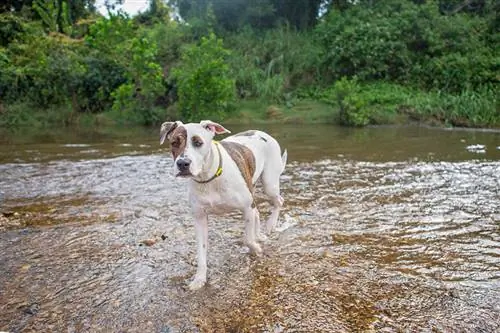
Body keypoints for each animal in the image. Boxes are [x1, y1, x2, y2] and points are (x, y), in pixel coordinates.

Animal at [158, 119, 288, 288]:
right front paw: (199, 279)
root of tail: (262, 133)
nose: (183, 163)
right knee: (258, 212)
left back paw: (270, 225)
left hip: (269, 183)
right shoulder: (200, 218)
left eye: (198, 143)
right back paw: (259, 234)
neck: (208, 178)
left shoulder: (246, 207)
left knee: (278, 201)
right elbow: (201, 252)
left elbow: (247, 239)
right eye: (174, 142)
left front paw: (256, 249)